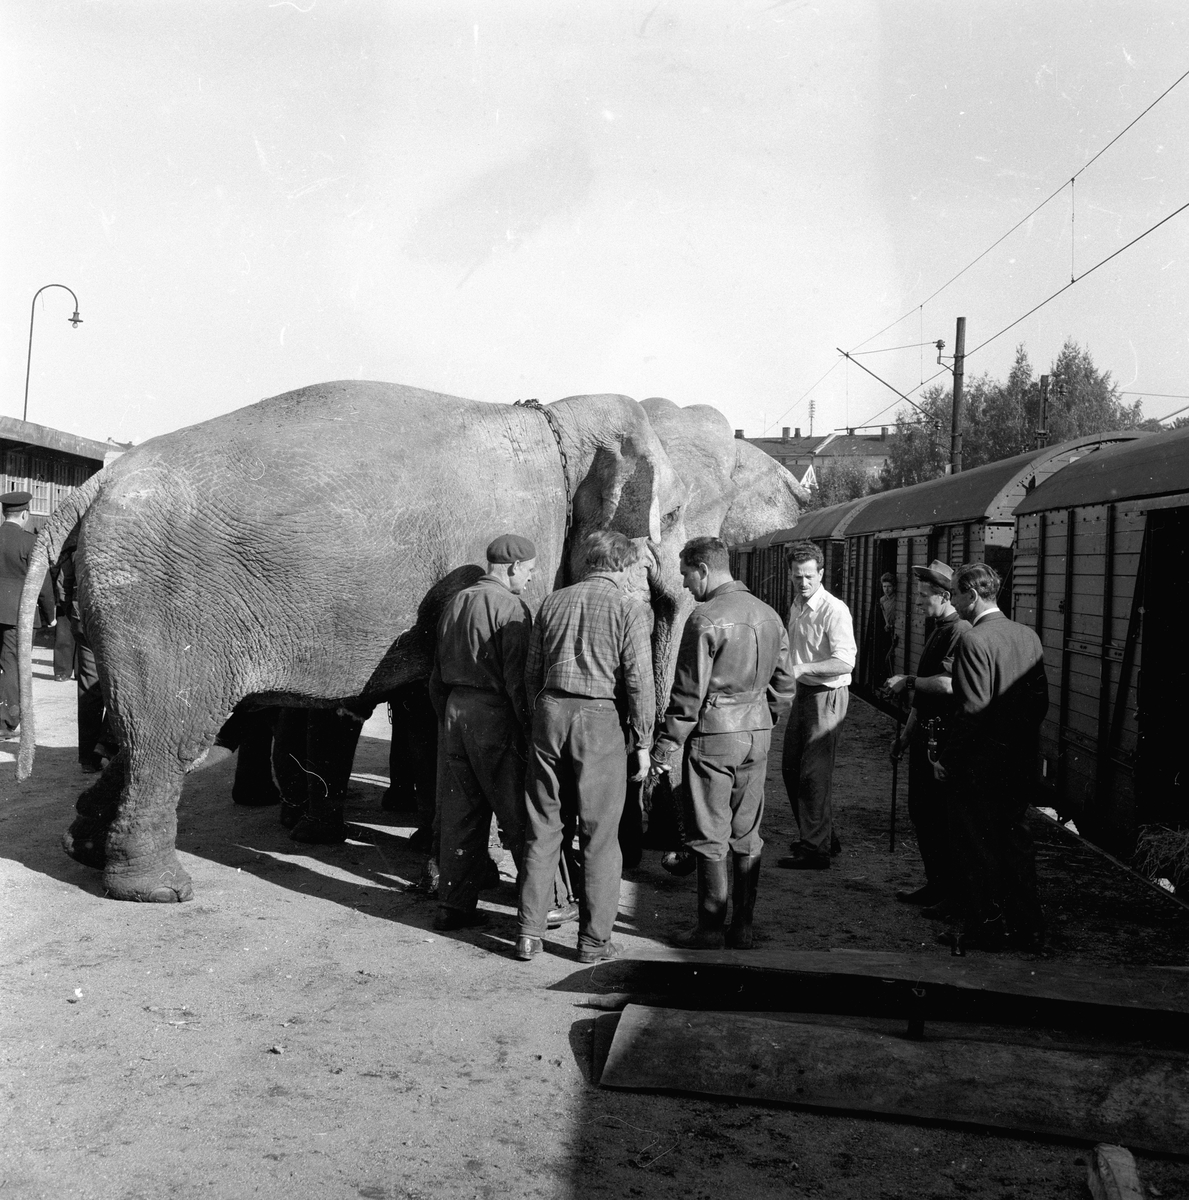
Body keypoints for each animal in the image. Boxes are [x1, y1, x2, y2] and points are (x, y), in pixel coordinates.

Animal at [16, 384, 686, 902]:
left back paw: (82, 847)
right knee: (170, 734)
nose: (653, 775)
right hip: (158, 601)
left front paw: (444, 879)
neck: (558, 417)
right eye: (676, 514)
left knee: (147, 732)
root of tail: (95, 484)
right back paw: (159, 891)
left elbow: (441, 709)